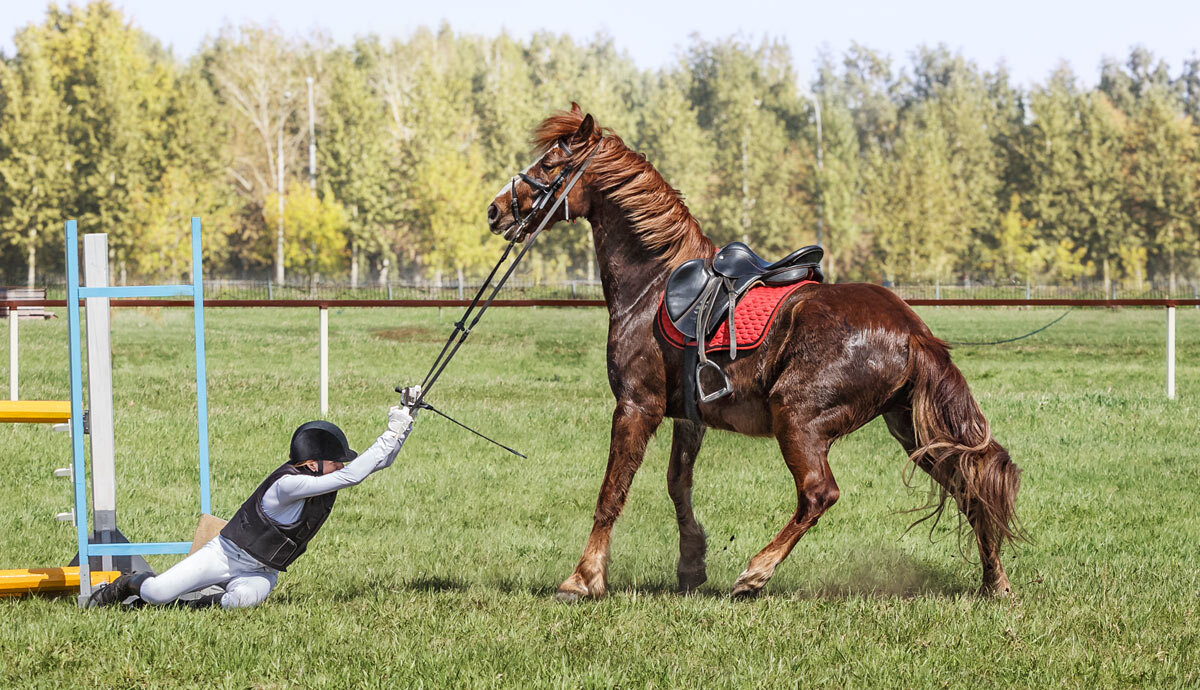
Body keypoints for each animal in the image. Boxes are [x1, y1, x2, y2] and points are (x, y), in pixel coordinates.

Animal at [487, 105, 1022, 602]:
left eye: (551, 162)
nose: (496, 210)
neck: (655, 283)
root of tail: (912, 331)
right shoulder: (688, 416)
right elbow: (678, 484)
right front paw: (691, 565)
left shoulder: (637, 406)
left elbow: (612, 492)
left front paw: (583, 578)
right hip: (911, 429)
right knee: (970, 486)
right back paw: (994, 583)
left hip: (798, 417)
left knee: (819, 494)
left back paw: (756, 572)